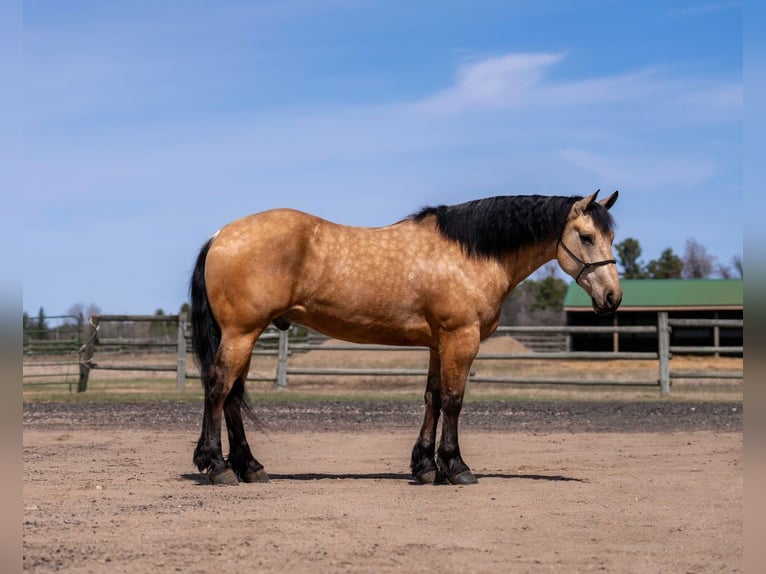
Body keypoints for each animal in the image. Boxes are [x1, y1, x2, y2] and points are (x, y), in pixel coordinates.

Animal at [190, 190, 621, 486]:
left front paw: (426, 467)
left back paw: (250, 467)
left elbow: (432, 398)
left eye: (611, 239)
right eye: (586, 236)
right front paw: (456, 467)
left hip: (245, 335)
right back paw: (217, 466)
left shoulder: (438, 344)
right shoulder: (460, 339)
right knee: (219, 388)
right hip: (241, 333)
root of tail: (221, 234)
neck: (468, 254)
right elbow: (453, 401)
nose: (612, 298)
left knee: (233, 397)